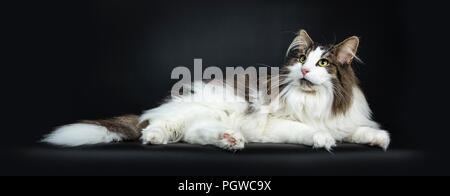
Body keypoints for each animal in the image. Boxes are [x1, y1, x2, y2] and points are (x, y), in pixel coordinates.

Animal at [44, 29, 392, 151]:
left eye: (323, 63)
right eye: (302, 59)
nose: (305, 70)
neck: (315, 102)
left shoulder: (344, 119)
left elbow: (355, 130)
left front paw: (377, 138)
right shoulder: (273, 123)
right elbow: (307, 130)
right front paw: (322, 138)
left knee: (193, 134)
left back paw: (229, 140)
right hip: (214, 106)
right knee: (159, 127)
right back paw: (158, 137)